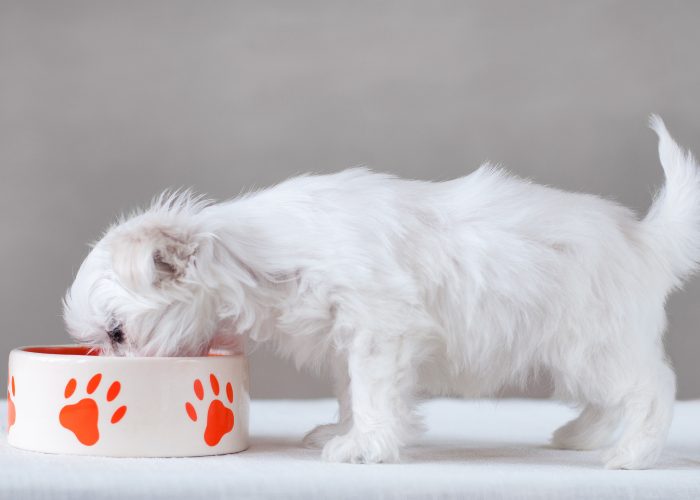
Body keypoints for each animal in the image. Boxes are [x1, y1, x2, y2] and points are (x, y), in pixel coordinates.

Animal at [63, 117, 696, 468]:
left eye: (117, 333)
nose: (108, 363)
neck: (257, 255)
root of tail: (645, 240)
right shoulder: (348, 335)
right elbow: (350, 390)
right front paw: (346, 431)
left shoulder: (379, 327)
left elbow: (371, 391)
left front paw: (364, 445)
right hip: (581, 351)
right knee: (608, 398)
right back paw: (580, 437)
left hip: (594, 342)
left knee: (651, 389)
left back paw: (632, 456)